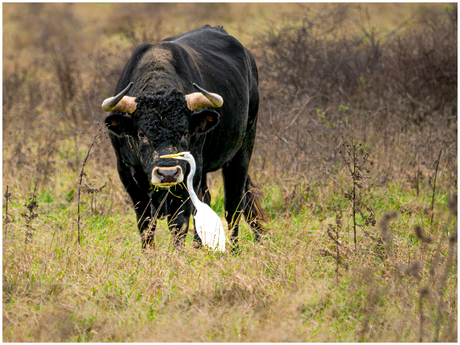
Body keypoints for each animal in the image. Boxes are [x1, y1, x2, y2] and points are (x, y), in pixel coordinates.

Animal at [102, 25, 264, 249]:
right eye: (141, 134)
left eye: (185, 132)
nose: (167, 174)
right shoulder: (127, 174)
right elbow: (145, 224)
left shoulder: (188, 174)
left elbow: (178, 222)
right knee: (207, 201)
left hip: (242, 150)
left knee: (234, 205)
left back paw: (233, 249)